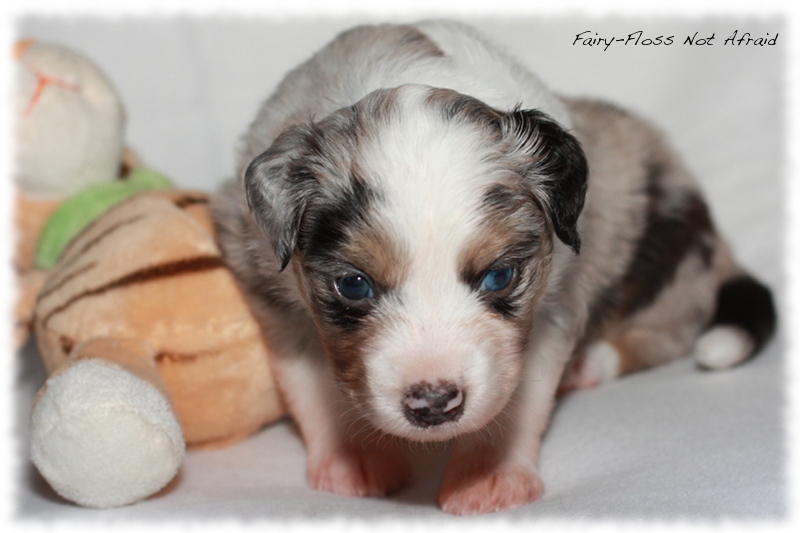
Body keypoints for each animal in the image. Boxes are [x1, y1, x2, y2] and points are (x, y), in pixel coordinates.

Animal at [209, 20, 772, 516]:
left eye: (499, 277)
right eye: (352, 285)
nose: (434, 404)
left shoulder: (557, 294)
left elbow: (522, 395)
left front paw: (489, 480)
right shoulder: (264, 275)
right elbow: (313, 380)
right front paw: (357, 462)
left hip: (671, 264)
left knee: (671, 330)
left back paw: (591, 364)